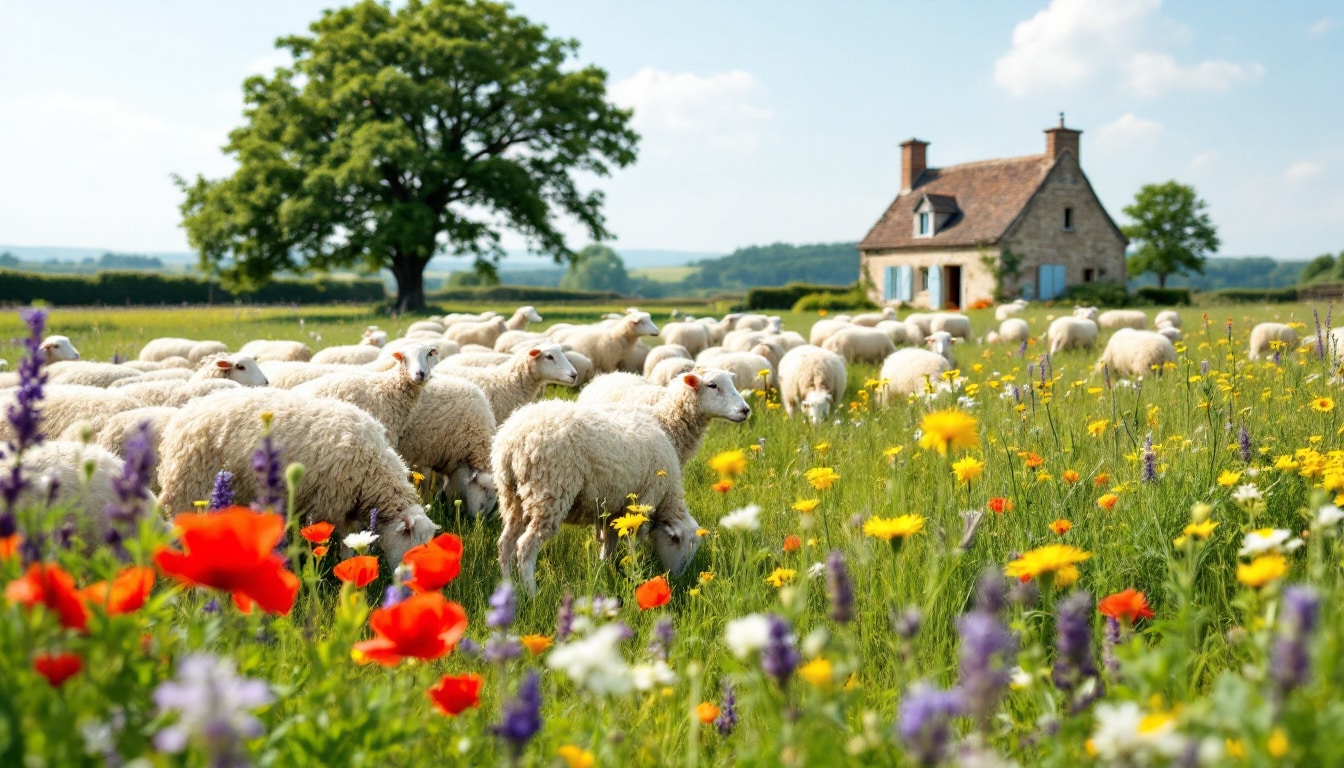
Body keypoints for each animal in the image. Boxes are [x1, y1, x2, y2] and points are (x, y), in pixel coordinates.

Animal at [155, 390, 435, 564]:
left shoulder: (346, 509)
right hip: (190, 492)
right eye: (413, 549)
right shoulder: (332, 504)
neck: (373, 468)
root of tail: (183, 416)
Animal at [494, 395, 704, 594]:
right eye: (681, 548)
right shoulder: (644, 502)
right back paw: (531, 592)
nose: (677, 579)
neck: (667, 497)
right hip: (549, 494)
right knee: (525, 547)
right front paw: (634, 569)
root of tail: (511, 440)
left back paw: (507, 586)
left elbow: (609, 543)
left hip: (512, 497)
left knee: (505, 543)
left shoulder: (614, 509)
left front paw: (605, 571)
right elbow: (633, 543)